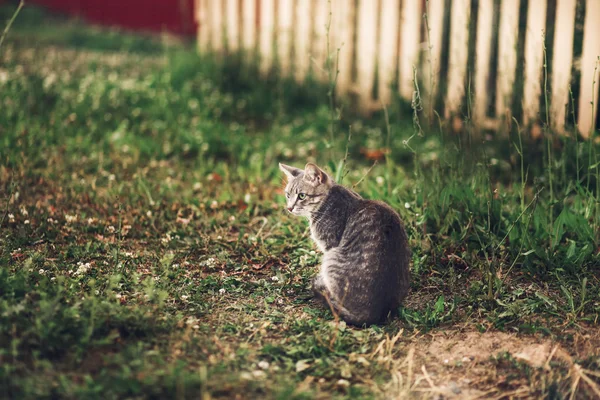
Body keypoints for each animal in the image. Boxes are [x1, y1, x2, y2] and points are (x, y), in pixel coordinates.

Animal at [278, 162, 410, 324]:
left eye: (301, 196)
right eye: (288, 195)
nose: (289, 208)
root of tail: (375, 314)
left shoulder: (329, 244)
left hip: (331, 258)